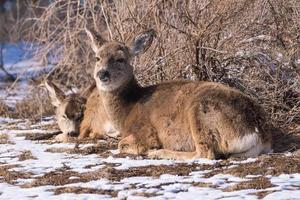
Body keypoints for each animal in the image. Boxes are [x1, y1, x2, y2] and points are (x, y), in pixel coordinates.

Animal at [84, 27, 272, 159]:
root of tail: (259, 133)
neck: (128, 109)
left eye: (120, 59)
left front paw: (150, 150)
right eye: (97, 58)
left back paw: (159, 153)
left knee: (205, 153)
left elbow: (122, 145)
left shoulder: (145, 133)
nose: (102, 74)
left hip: (201, 114)